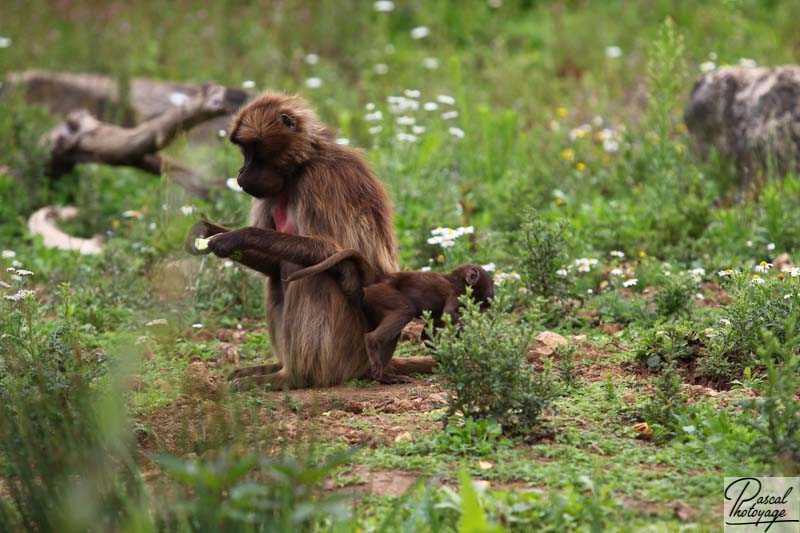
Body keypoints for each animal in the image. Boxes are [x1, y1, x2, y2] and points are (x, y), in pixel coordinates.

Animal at [186, 93, 438, 388]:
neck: (301, 165)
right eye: (243, 149)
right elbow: (274, 265)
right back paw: (273, 368)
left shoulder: (319, 180)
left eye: (252, 147)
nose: (240, 172)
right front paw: (206, 231)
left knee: (309, 272)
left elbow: (334, 250)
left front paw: (237, 236)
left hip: (351, 349)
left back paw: (290, 377)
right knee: (279, 276)